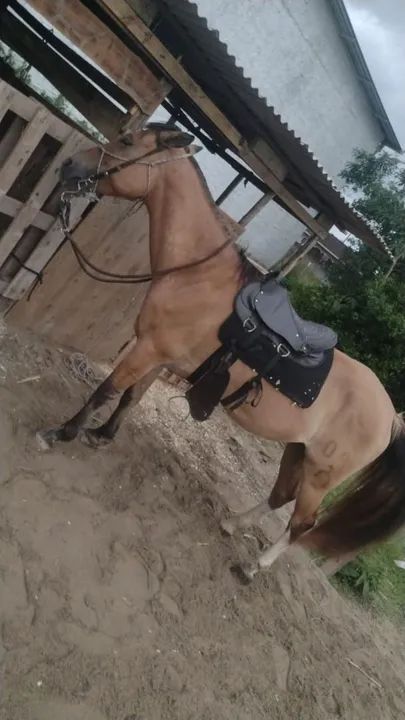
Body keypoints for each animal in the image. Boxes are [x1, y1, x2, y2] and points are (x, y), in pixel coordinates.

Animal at [37, 123, 405, 582]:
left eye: (127, 142)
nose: (69, 166)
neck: (196, 275)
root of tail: (391, 416)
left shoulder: (147, 349)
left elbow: (105, 390)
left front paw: (62, 432)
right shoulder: (159, 355)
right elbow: (130, 398)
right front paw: (101, 436)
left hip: (320, 475)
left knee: (302, 523)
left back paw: (253, 566)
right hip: (297, 450)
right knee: (279, 496)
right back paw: (232, 523)